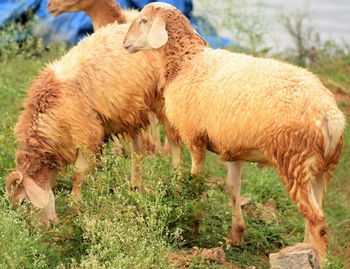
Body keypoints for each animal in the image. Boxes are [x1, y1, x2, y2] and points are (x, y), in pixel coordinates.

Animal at [6, 22, 180, 225]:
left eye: (23, 202)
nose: (44, 228)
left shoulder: (86, 135)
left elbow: (78, 174)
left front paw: (74, 207)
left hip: (163, 100)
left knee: (174, 141)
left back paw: (179, 184)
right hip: (134, 111)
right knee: (138, 152)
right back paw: (136, 189)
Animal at [123, 2, 344, 262]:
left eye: (144, 20)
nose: (125, 43)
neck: (187, 62)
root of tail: (329, 115)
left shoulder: (194, 137)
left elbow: (196, 182)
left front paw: (193, 225)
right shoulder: (232, 147)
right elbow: (232, 187)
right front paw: (236, 235)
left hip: (295, 162)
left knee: (317, 220)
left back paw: (317, 258)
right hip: (322, 170)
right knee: (316, 215)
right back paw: (304, 250)